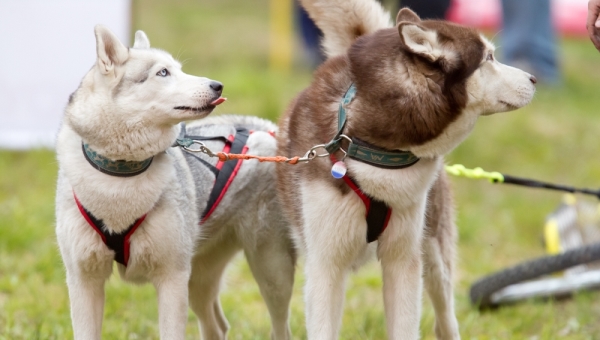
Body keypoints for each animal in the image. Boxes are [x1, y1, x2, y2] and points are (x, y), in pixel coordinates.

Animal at [55, 25, 294, 338]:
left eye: (179, 69)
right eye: (163, 72)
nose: (218, 86)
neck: (121, 172)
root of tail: (269, 127)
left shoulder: (172, 278)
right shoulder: (84, 279)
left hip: (271, 270)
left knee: (280, 327)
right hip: (200, 276)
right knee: (218, 325)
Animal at [276, 0, 536, 340]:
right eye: (488, 58)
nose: (534, 79)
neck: (374, 150)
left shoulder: (403, 259)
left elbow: (405, 325)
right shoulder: (325, 264)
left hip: (433, 251)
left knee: (446, 317)